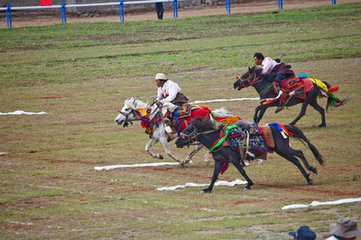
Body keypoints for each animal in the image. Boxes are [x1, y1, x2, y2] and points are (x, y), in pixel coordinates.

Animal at [174, 118, 324, 193]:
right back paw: (308, 177)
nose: (177, 142)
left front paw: (249, 184)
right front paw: (208, 189)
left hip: (284, 149)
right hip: (282, 151)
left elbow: (242, 171)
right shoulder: (219, 161)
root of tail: (281, 127)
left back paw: (311, 171)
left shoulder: (233, 159)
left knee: (299, 153)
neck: (219, 139)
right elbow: (214, 176)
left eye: (188, 129)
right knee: (295, 160)